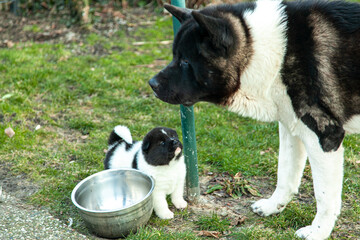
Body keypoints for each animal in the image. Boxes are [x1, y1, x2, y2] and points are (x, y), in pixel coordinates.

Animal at [148, 0, 360, 239]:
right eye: (174, 56)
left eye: (185, 61)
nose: (151, 83)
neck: (275, 51)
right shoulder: (292, 129)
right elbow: (285, 175)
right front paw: (273, 207)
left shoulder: (325, 137)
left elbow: (324, 196)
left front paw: (318, 232)